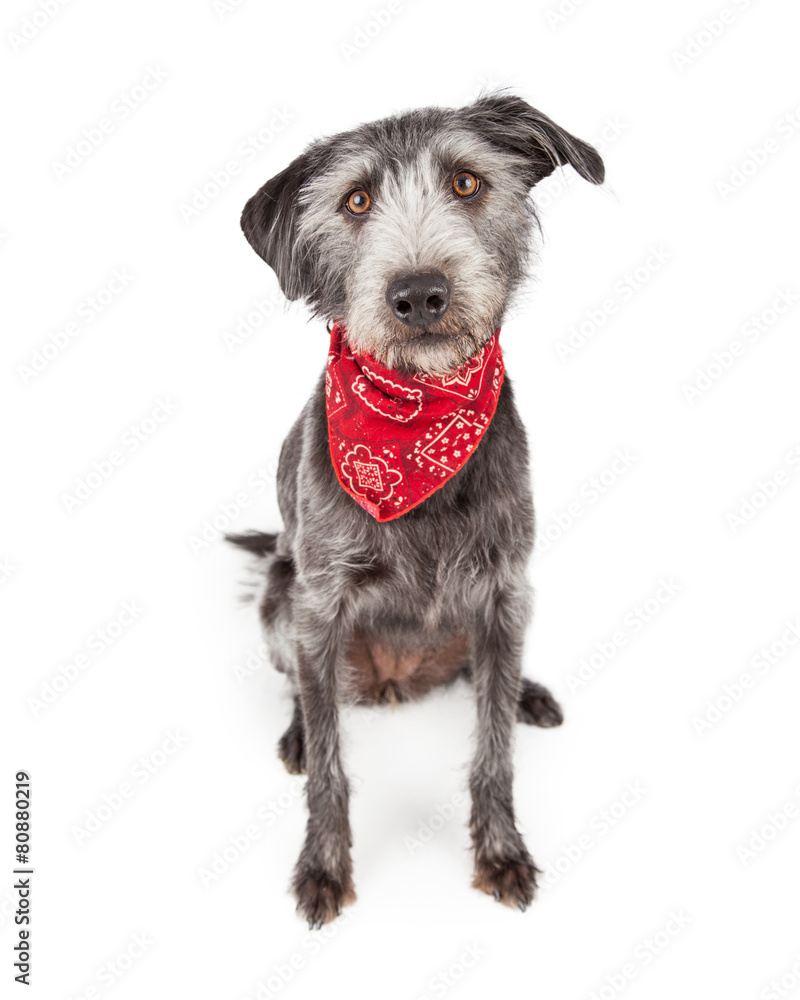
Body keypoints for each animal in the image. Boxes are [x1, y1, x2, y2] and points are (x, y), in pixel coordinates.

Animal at [228, 95, 604, 928]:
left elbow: (493, 754)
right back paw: (298, 728)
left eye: (466, 181)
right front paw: (323, 866)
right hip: (280, 595)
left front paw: (500, 850)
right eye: (356, 200)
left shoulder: (503, 590)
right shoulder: (320, 602)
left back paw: (525, 691)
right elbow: (331, 766)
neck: (415, 424)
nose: (420, 293)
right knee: (306, 686)